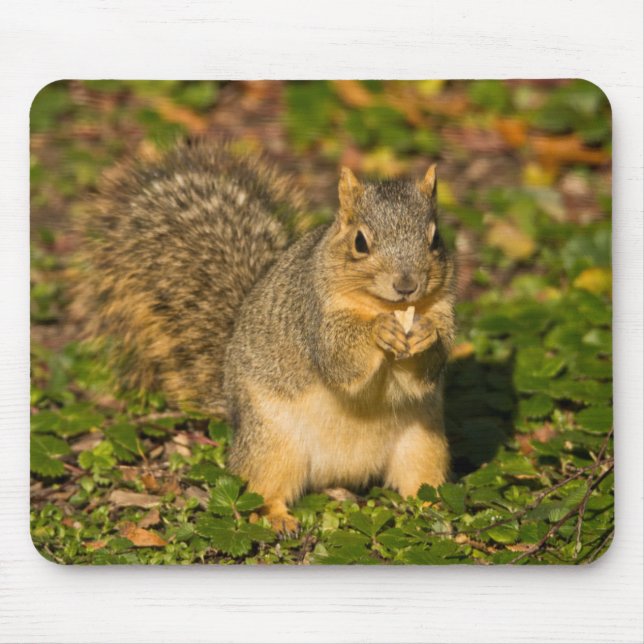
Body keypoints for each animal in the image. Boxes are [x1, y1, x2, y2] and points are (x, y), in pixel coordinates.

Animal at [76, 140, 456, 533]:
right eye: (360, 242)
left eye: (435, 239)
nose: (407, 284)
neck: (384, 305)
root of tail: (342, 472)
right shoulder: (312, 314)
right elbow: (340, 358)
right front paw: (378, 330)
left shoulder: (444, 309)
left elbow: (426, 370)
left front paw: (425, 335)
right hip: (271, 444)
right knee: (262, 488)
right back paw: (276, 518)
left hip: (424, 444)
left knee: (419, 482)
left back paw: (434, 509)